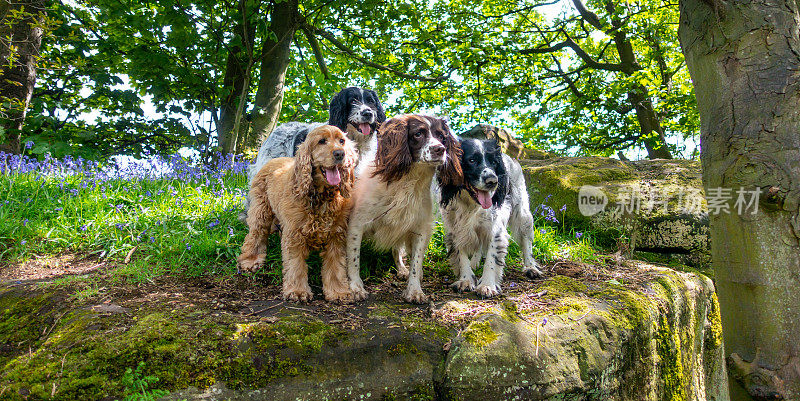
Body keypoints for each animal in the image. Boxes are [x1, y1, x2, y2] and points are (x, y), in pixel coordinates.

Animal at [438, 138, 544, 296]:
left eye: (494, 162)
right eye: (472, 160)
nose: (492, 181)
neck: (471, 204)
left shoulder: (495, 229)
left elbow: (491, 259)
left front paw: (487, 285)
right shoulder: (455, 228)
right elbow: (461, 255)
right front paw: (466, 280)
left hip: (522, 214)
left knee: (526, 242)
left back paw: (530, 267)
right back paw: (474, 263)